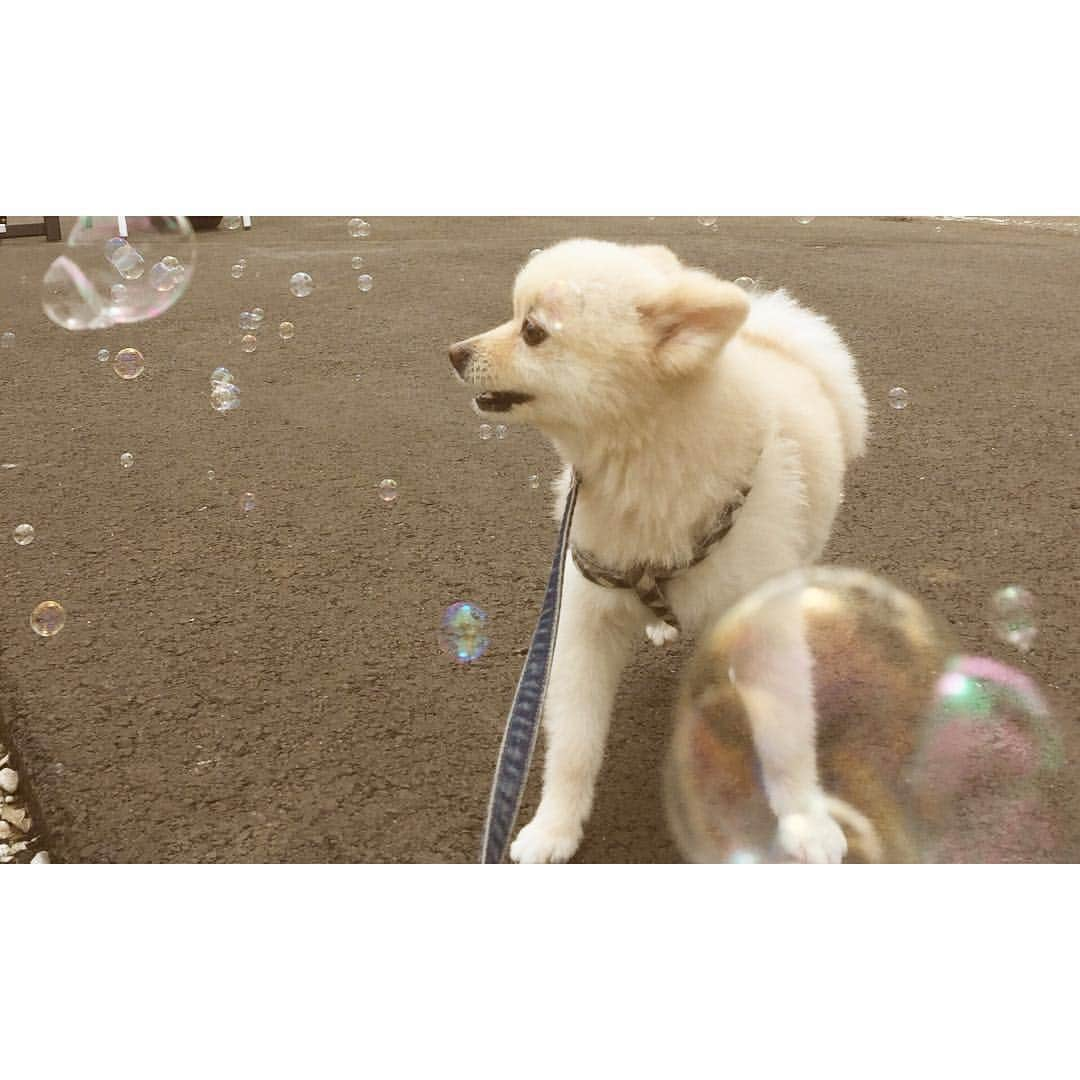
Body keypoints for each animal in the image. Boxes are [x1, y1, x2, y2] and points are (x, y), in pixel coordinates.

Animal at [447, 240, 868, 864]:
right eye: (515, 314)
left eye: (533, 331)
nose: (455, 352)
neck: (641, 473)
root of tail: (777, 334)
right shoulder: (584, 619)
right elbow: (572, 742)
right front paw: (554, 828)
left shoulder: (763, 623)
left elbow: (789, 738)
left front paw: (807, 821)